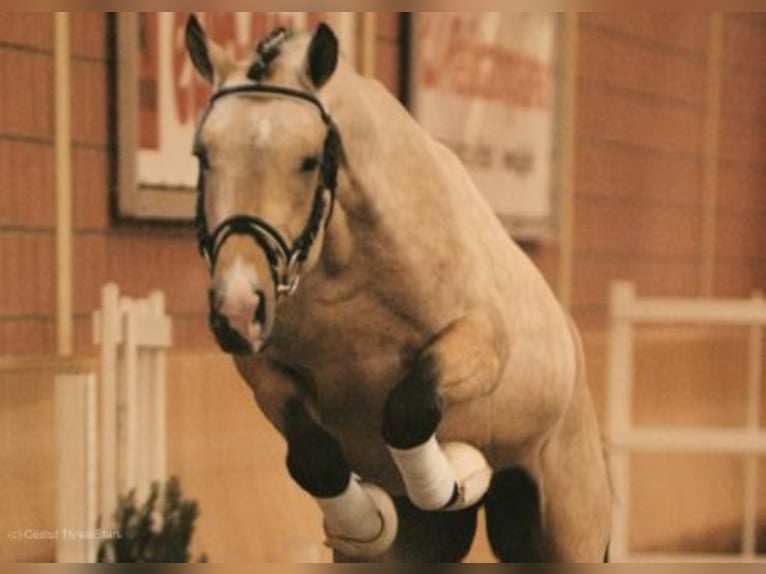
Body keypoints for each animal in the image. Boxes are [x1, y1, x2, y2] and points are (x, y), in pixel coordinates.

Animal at [185, 16, 611, 563]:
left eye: (308, 160)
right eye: (204, 154)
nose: (237, 308)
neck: (346, 269)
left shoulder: (480, 344)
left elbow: (409, 409)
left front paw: (455, 478)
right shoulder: (266, 373)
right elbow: (314, 458)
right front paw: (366, 522)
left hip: (567, 530)